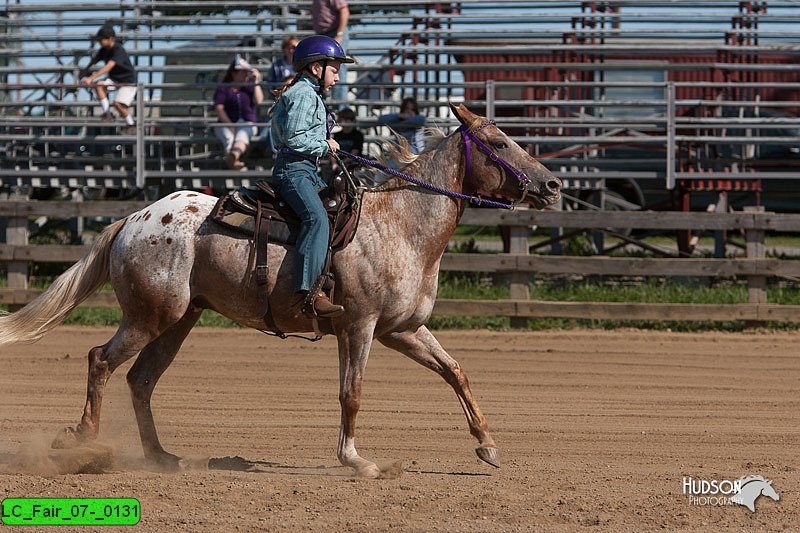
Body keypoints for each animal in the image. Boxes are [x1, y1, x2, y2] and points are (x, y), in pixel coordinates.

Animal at [0, 103, 564, 474]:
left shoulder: (401, 330)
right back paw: (82, 443)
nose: (553, 185)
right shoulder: (360, 327)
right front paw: (356, 460)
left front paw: (488, 446)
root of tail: (132, 220)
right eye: (499, 144)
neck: (401, 225)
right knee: (100, 360)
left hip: (180, 319)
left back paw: (161, 457)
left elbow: (456, 372)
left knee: (141, 379)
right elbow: (352, 393)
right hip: (149, 316)